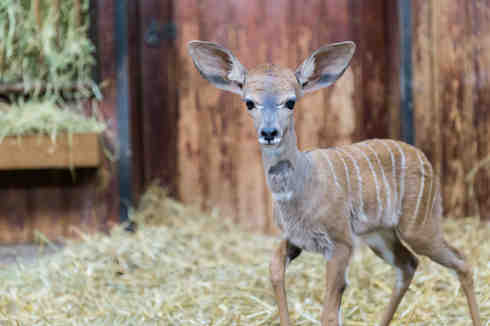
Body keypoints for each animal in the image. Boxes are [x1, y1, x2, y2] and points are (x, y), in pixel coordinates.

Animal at [189, 40, 482, 326]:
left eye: (291, 102)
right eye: (249, 102)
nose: (269, 132)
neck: (299, 186)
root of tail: (424, 158)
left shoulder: (340, 243)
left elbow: (329, 311)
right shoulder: (294, 238)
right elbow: (275, 272)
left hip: (419, 229)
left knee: (462, 261)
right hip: (379, 235)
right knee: (408, 264)